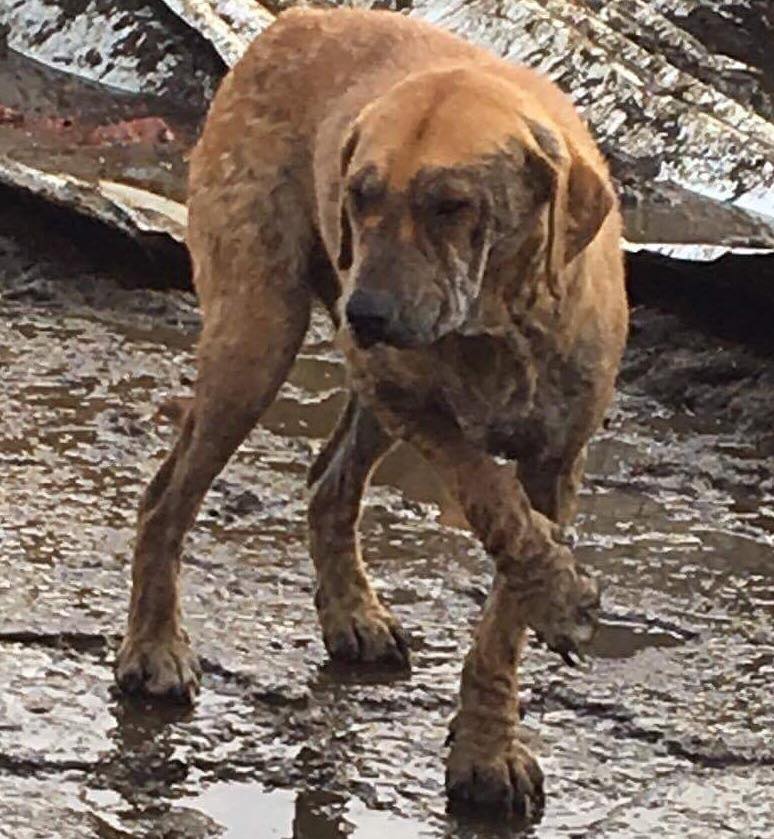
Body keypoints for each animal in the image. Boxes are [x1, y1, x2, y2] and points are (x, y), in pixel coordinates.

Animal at [115, 6, 632, 820]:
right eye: (358, 195)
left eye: (453, 205)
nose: (366, 314)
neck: (492, 328)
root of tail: (296, 22)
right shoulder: (406, 394)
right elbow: (494, 502)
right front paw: (561, 592)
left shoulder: (557, 453)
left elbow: (504, 610)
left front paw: (486, 748)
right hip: (256, 336)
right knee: (169, 496)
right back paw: (154, 648)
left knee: (330, 483)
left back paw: (350, 612)